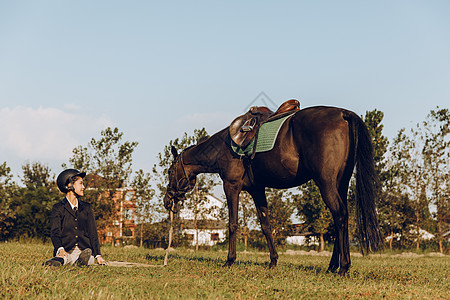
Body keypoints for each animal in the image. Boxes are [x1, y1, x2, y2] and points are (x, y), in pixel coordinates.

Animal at [164, 106, 384, 276]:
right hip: (340, 184)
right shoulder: (257, 190)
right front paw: (273, 261)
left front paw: (229, 261)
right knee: (342, 218)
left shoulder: (231, 186)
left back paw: (343, 267)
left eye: (169, 171)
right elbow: (266, 225)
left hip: (327, 184)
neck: (222, 147)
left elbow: (233, 224)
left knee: (339, 216)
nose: (167, 201)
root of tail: (343, 114)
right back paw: (332, 266)